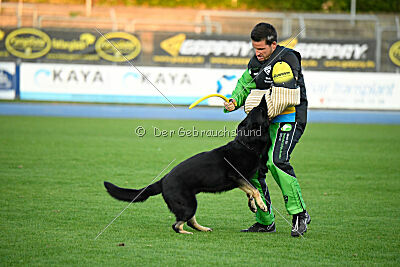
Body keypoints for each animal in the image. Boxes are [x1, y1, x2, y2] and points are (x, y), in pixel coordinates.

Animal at [104, 96, 272, 234]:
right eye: (262, 110)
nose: (265, 96)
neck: (247, 144)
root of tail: (163, 180)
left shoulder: (242, 180)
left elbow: (250, 191)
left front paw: (254, 206)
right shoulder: (236, 176)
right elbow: (254, 190)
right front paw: (262, 205)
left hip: (190, 203)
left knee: (189, 221)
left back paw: (202, 229)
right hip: (189, 204)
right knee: (177, 225)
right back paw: (186, 232)